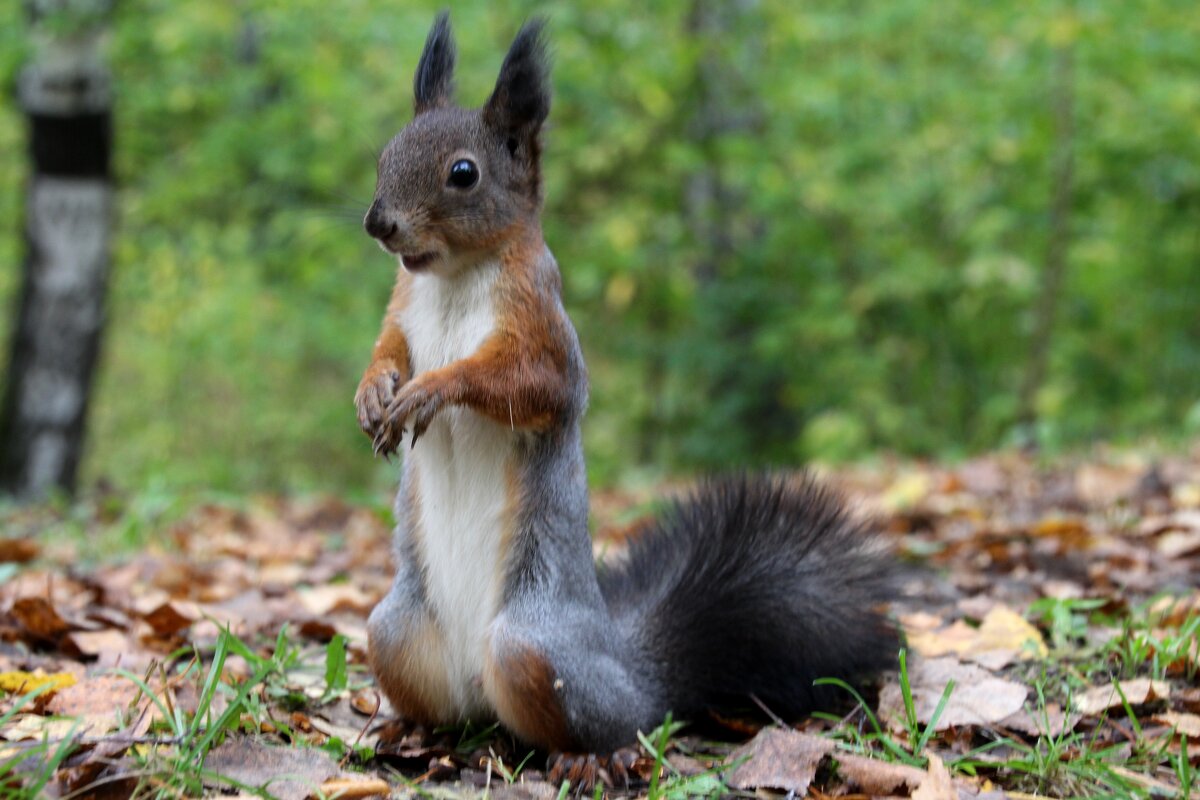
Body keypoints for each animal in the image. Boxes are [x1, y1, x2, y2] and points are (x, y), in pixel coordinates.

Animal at [350, 12, 897, 762]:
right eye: (385, 153)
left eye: (464, 173)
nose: (379, 223)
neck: (454, 277)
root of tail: (636, 673)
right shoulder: (402, 309)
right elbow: (387, 350)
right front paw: (373, 392)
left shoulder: (546, 330)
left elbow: (524, 382)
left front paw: (431, 389)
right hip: (395, 633)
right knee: (448, 707)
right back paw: (407, 728)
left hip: (533, 652)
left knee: (608, 724)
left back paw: (591, 761)